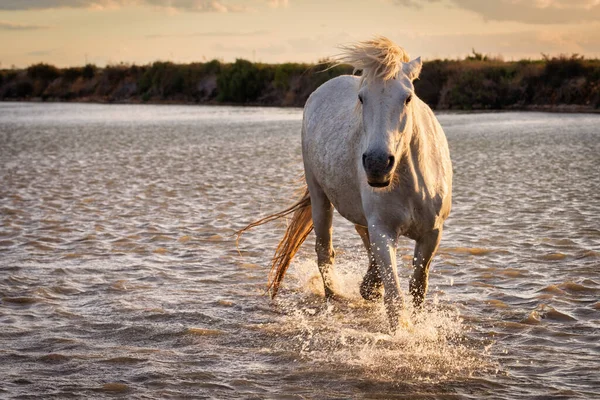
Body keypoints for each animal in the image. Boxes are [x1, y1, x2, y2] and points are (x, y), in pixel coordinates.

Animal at [239, 37, 450, 330]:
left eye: (407, 98)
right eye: (362, 98)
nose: (377, 163)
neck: (411, 182)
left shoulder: (432, 233)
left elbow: (417, 287)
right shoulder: (383, 229)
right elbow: (395, 299)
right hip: (319, 197)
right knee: (324, 251)